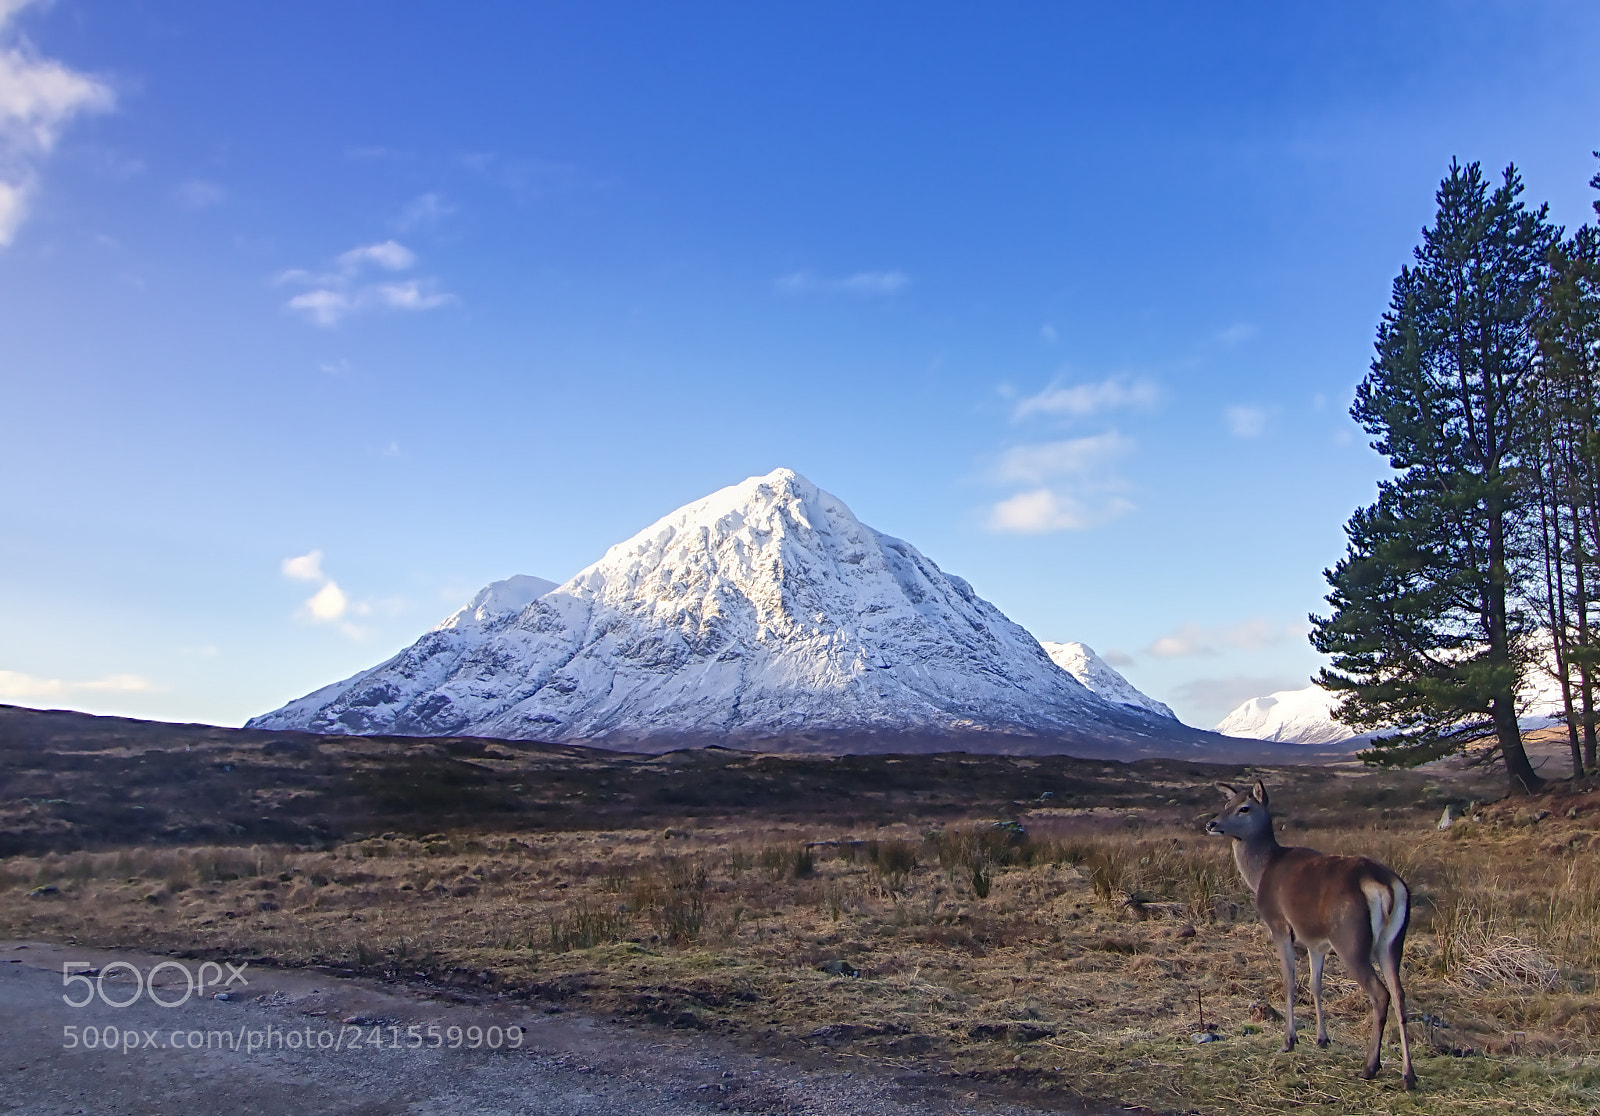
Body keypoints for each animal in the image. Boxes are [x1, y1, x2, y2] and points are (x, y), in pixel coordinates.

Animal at [1205, 780, 1416, 1089]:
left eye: (1244, 808)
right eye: (1226, 804)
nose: (1211, 823)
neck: (1261, 872)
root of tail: (1386, 886)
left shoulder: (1279, 924)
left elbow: (1290, 979)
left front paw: (1288, 1041)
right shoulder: (1316, 942)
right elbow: (1316, 984)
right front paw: (1321, 1038)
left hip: (1350, 938)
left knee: (1381, 993)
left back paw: (1370, 1067)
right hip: (1393, 941)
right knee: (1400, 994)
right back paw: (1408, 1075)